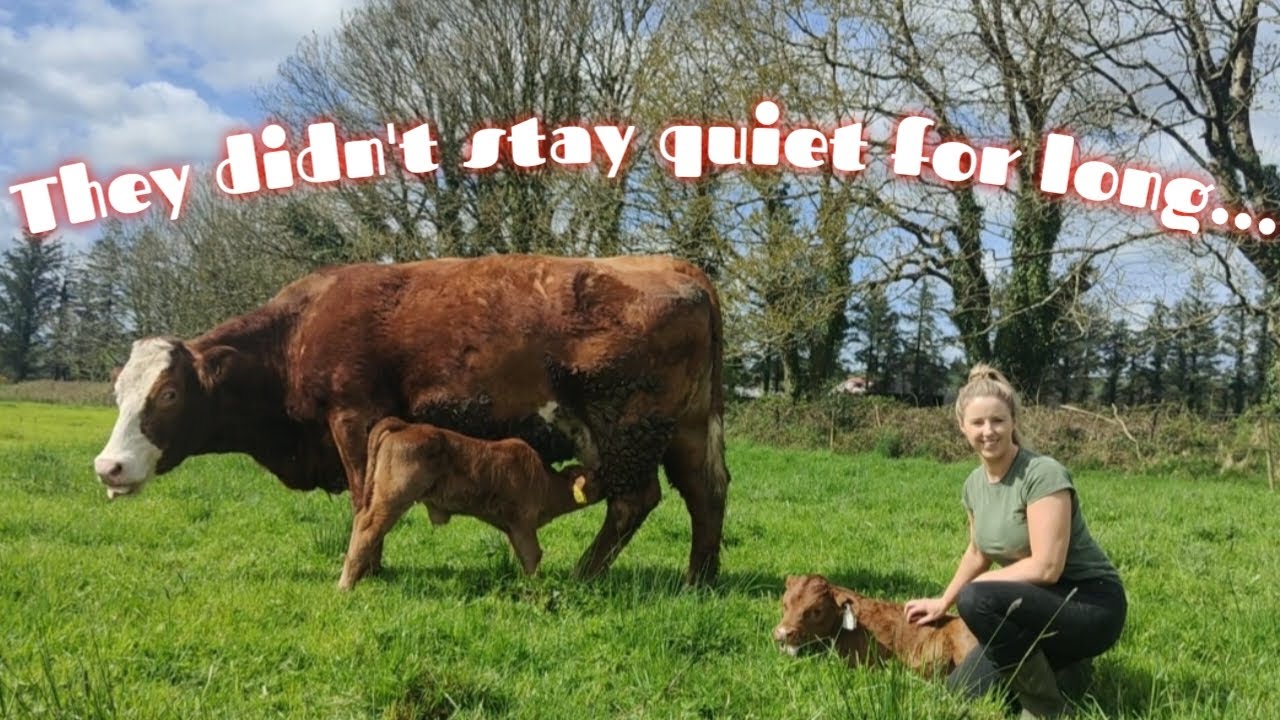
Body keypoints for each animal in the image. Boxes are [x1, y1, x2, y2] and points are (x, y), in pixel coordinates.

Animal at [340, 417, 602, 589]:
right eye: (593, 478)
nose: (606, 476)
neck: (545, 482)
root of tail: (406, 426)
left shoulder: (513, 527)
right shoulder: (523, 521)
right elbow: (532, 556)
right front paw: (537, 589)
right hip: (393, 498)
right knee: (368, 529)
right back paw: (345, 585)